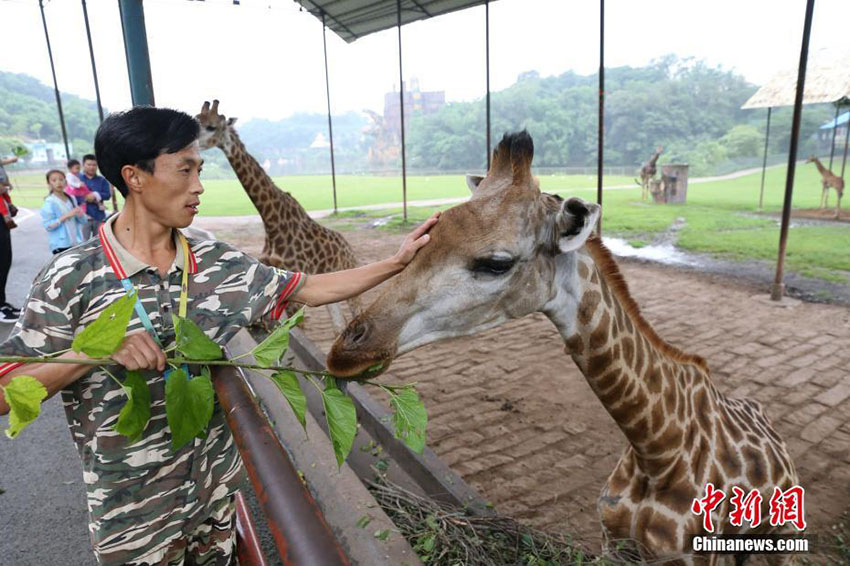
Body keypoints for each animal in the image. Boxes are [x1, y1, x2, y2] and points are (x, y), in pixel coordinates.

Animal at [195, 100, 358, 326]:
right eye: (196, 119)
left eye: (212, 127)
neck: (271, 220)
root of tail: (349, 248)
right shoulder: (275, 279)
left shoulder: (295, 279)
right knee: (339, 325)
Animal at [328, 132, 800, 564]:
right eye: (427, 237)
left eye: (496, 263)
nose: (345, 352)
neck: (657, 448)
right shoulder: (613, 545)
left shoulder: (696, 556)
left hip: (779, 539)